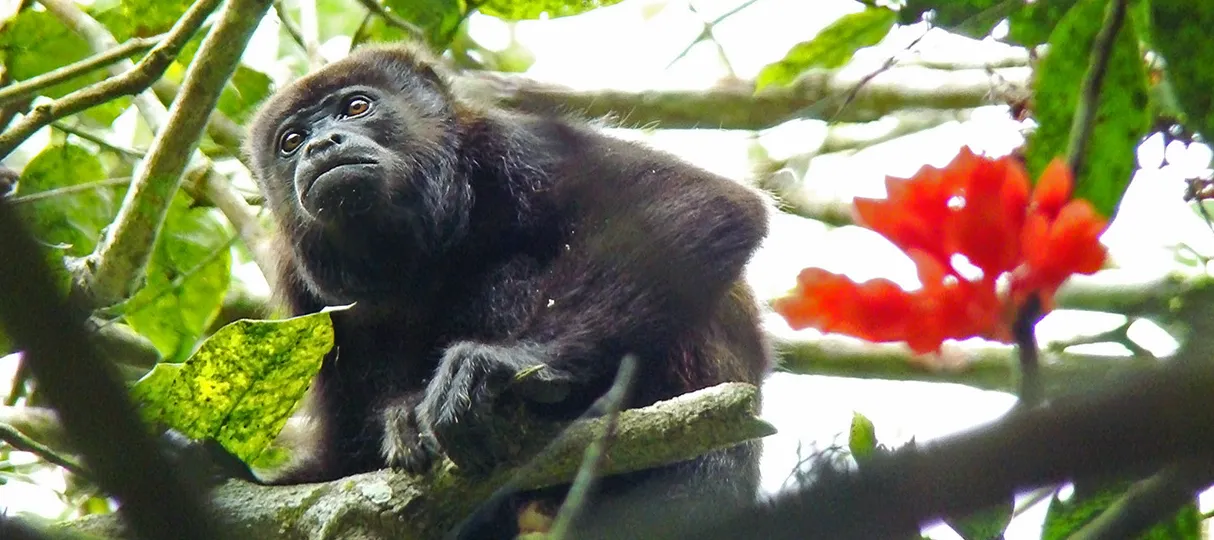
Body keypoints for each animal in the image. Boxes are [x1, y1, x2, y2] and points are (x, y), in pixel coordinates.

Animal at [242, 44, 772, 536]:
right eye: (291, 141)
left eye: (356, 107)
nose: (320, 145)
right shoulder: (297, 278)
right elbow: (343, 456)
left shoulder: (517, 146)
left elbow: (698, 200)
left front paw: (502, 363)